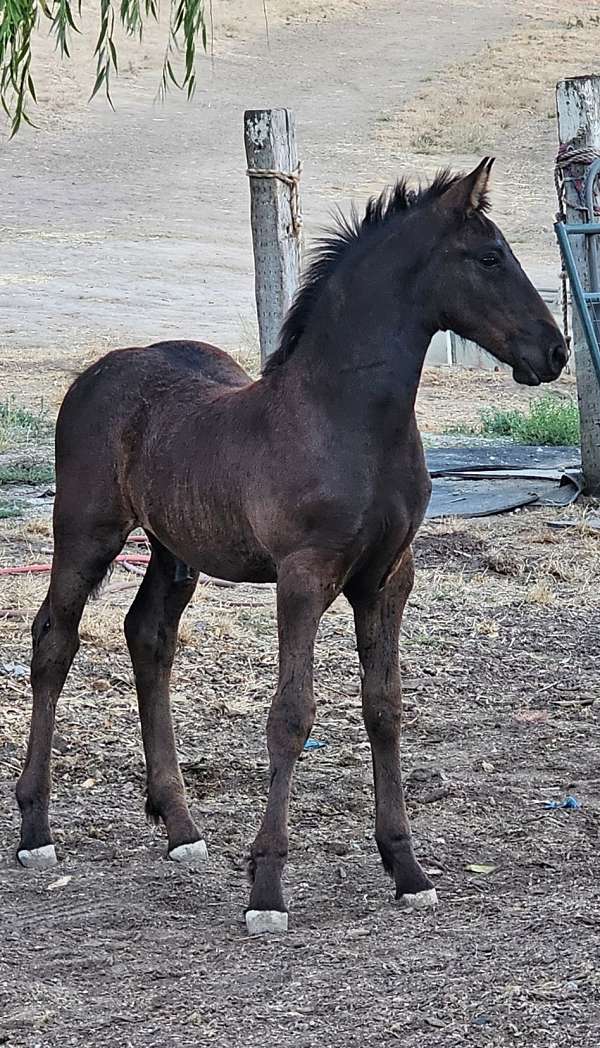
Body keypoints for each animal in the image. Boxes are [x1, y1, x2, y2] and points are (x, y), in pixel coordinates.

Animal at [15, 159, 567, 934]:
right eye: (489, 257)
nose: (554, 350)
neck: (347, 420)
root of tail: (97, 372)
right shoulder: (303, 577)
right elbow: (291, 715)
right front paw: (267, 891)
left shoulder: (388, 578)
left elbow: (383, 707)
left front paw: (407, 869)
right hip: (86, 534)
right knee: (54, 642)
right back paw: (36, 829)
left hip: (173, 549)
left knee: (147, 635)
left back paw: (180, 827)